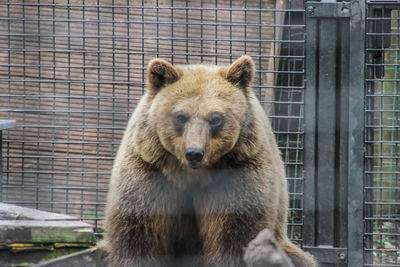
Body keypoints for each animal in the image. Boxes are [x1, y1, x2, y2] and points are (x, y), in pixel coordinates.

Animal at [102, 55, 316, 266]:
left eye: (215, 118)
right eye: (181, 116)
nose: (194, 153)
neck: (192, 175)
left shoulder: (238, 173)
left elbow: (235, 233)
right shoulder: (150, 170)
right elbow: (139, 235)